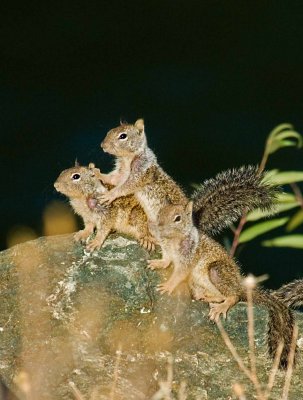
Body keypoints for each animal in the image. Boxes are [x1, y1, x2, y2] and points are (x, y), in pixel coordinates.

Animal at [98, 119, 280, 294]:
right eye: (109, 131)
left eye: (123, 136)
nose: (102, 146)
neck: (128, 159)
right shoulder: (121, 172)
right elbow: (113, 179)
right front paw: (99, 174)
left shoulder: (141, 174)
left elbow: (125, 187)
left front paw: (110, 195)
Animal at [157, 202, 296, 370]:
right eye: (159, 214)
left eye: (178, 218)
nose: (158, 227)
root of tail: (239, 285)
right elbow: (166, 260)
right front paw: (157, 264)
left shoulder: (188, 256)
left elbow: (180, 273)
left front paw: (168, 285)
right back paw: (205, 297)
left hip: (217, 271)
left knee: (233, 296)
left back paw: (221, 305)